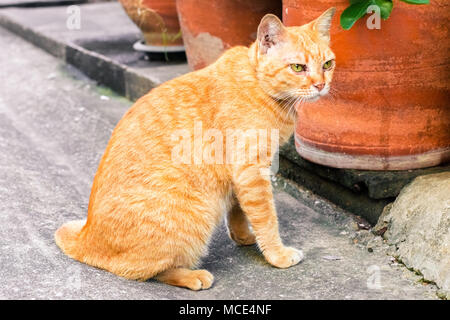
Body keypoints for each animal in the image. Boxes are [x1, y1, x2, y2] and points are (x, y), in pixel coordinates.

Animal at [54, 8, 336, 292]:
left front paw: (244, 236)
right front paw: (277, 254)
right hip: (195, 216)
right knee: (140, 270)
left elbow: (238, 209)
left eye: (327, 65)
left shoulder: (240, 175)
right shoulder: (251, 171)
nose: (320, 85)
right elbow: (266, 218)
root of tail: (85, 237)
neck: (257, 83)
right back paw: (193, 276)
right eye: (298, 67)